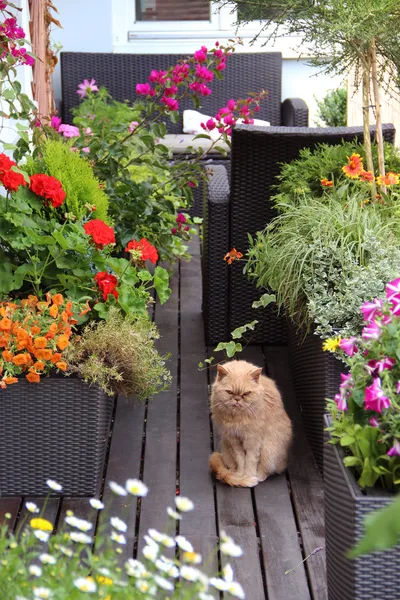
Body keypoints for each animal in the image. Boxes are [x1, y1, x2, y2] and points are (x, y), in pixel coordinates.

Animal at [211, 360, 292, 488]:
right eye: (229, 392)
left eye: (246, 393)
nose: (237, 400)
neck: (237, 418)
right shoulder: (233, 439)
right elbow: (240, 459)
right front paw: (240, 475)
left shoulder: (252, 441)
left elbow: (250, 460)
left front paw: (249, 476)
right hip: (225, 445)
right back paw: (234, 473)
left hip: (269, 449)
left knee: (268, 469)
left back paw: (259, 476)